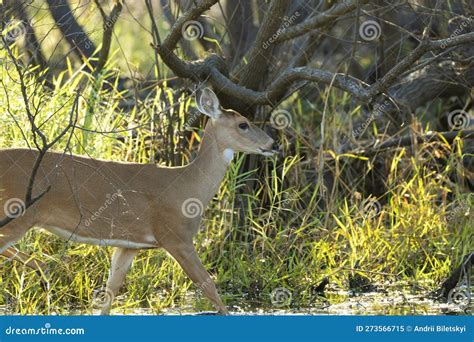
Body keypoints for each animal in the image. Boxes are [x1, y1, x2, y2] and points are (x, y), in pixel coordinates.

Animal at [0, 87, 278, 314]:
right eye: (243, 124)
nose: (273, 144)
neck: (188, 186)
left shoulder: (129, 245)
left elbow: (109, 295)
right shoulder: (176, 237)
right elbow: (211, 291)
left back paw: (46, 269)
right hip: (16, 213)